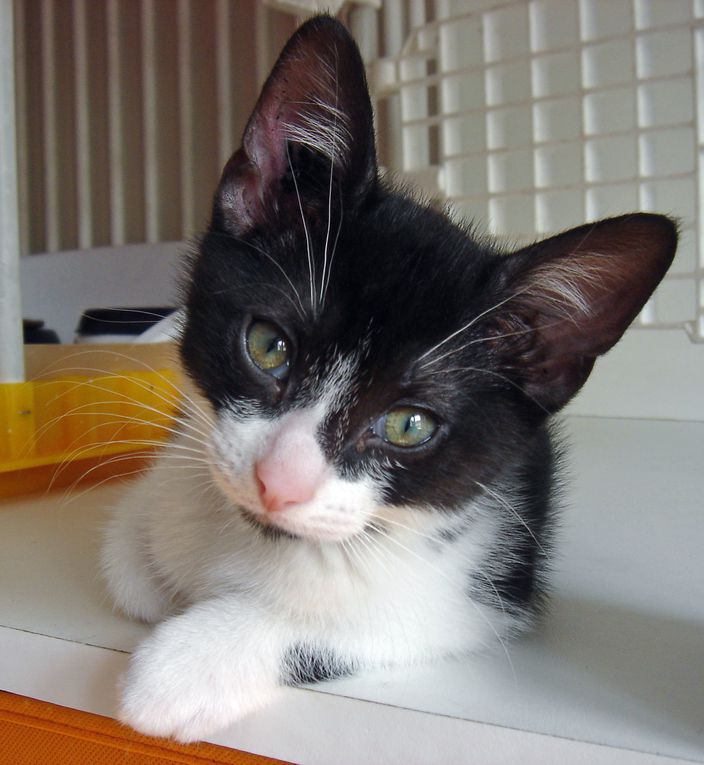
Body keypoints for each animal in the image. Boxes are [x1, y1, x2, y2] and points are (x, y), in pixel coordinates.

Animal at [100, 16, 676, 748]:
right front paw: (148, 559)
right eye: (268, 346)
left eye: (409, 423)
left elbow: (357, 628)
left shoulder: (482, 597)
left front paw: (185, 666)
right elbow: (127, 563)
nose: (278, 483)